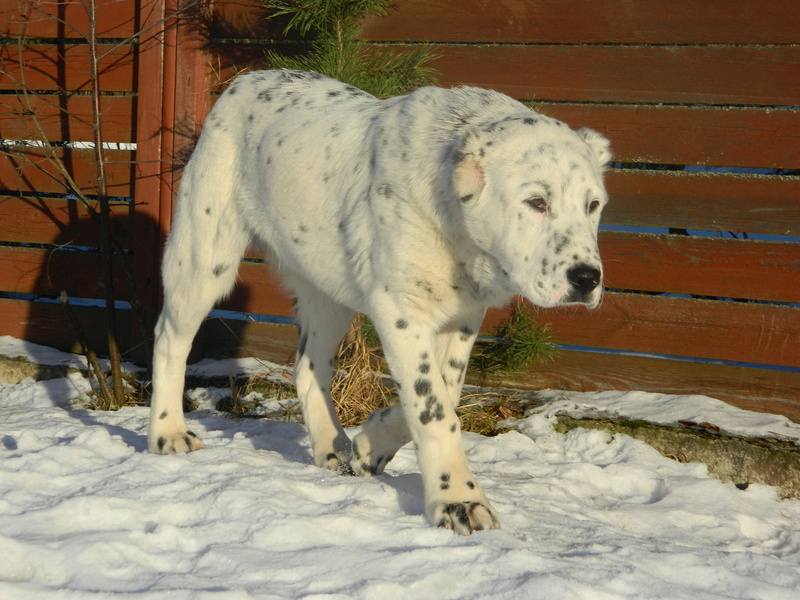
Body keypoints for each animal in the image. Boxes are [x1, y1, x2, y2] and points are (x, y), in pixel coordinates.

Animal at [148, 70, 612, 536]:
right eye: (536, 202)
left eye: (593, 205)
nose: (587, 278)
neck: (457, 232)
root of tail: (247, 79)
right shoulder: (402, 311)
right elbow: (433, 408)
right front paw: (458, 499)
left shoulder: (462, 317)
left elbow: (447, 392)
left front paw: (370, 447)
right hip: (205, 255)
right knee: (170, 338)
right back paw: (168, 433)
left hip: (325, 290)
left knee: (308, 366)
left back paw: (333, 448)